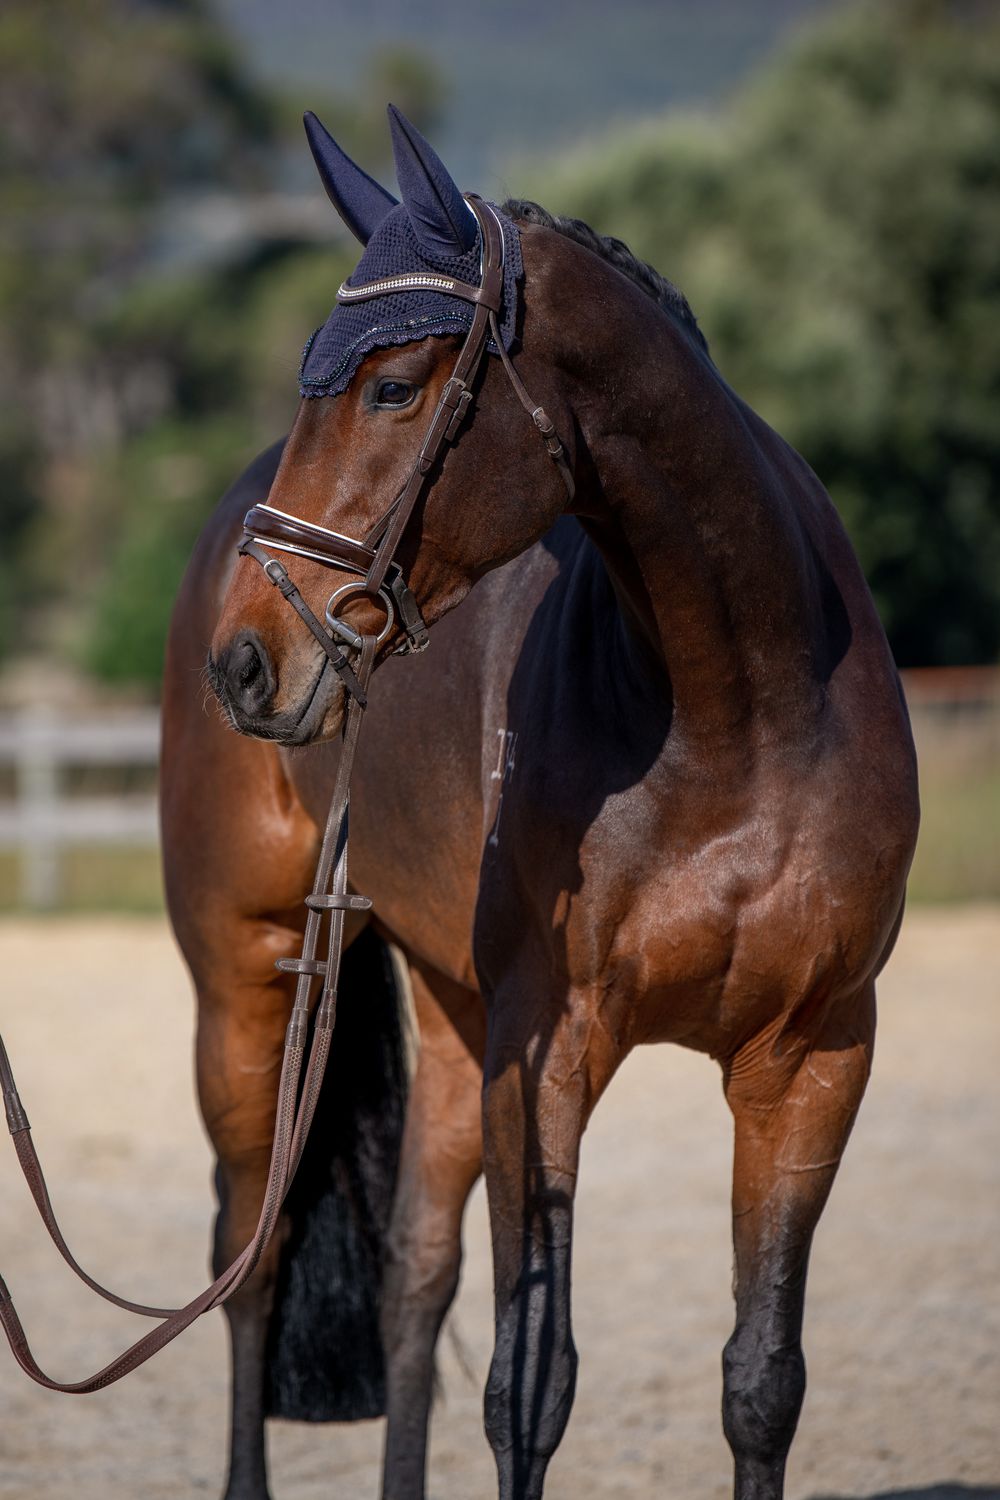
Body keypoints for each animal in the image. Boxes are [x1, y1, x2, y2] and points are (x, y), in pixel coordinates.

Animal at [161, 105, 919, 1500]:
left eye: (392, 386)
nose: (246, 661)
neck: (738, 713)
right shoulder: (551, 1055)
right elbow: (531, 1384)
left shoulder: (813, 1058)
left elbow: (762, 1379)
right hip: (249, 978)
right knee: (251, 1257)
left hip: (456, 1018)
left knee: (412, 1275)